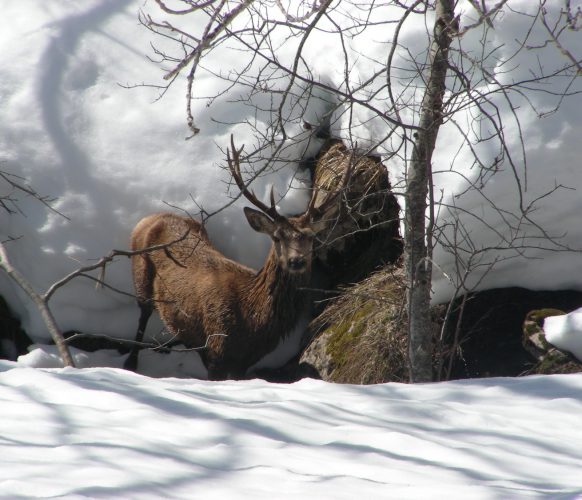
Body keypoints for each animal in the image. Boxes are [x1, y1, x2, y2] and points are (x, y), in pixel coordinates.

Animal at [125, 137, 352, 378]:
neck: (252, 322)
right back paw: (130, 363)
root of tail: (150, 218)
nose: (296, 260)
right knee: (143, 314)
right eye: (277, 237)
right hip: (139, 275)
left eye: (311, 237)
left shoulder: (243, 363)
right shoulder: (217, 348)